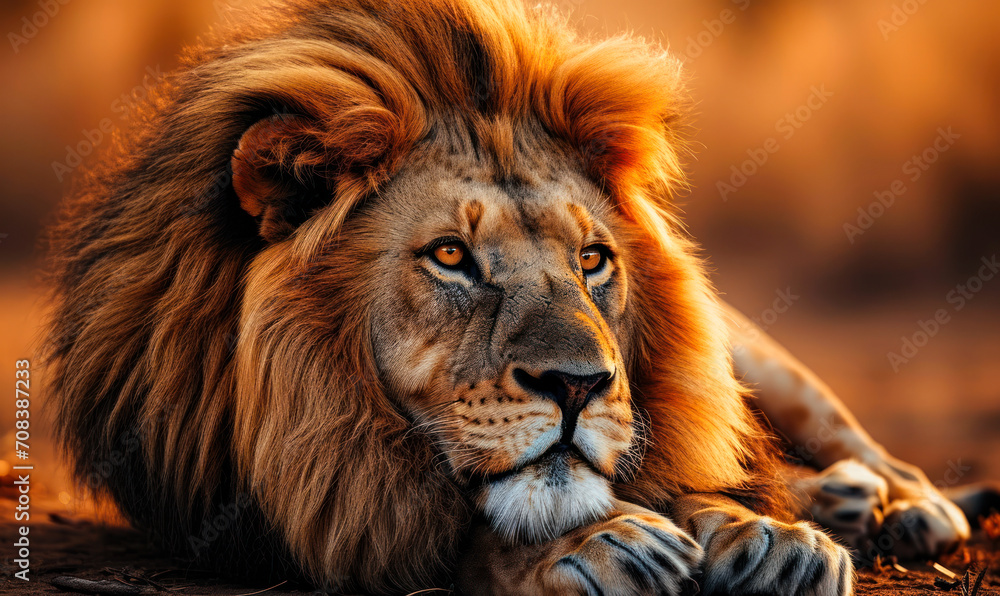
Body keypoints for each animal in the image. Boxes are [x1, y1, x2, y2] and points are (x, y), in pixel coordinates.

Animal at [44, 0, 995, 594]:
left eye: (592, 260)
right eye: (452, 256)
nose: (579, 385)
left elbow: (680, 474)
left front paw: (761, 536)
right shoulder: (292, 511)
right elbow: (471, 530)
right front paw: (595, 543)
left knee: (866, 453)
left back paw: (899, 509)